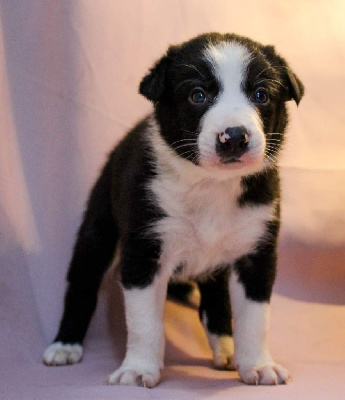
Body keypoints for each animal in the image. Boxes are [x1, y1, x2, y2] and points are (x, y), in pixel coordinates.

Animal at [43, 32, 304, 386]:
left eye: (261, 95)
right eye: (198, 95)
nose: (234, 136)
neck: (211, 185)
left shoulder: (256, 251)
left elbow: (254, 318)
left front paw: (259, 365)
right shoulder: (144, 250)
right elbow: (144, 322)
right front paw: (138, 369)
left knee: (215, 302)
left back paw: (225, 349)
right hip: (98, 229)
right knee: (82, 283)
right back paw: (64, 346)